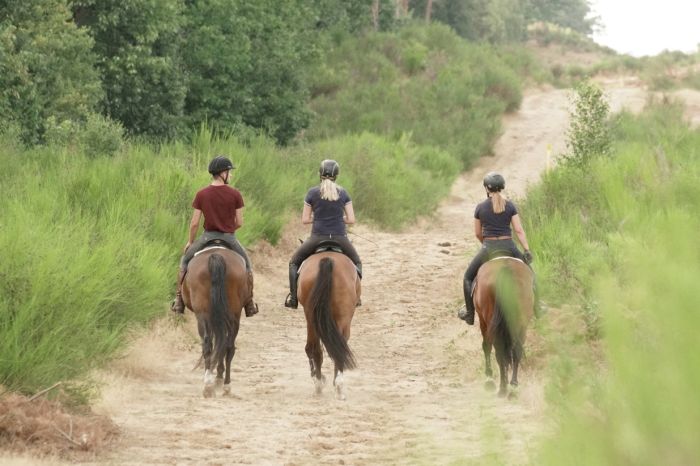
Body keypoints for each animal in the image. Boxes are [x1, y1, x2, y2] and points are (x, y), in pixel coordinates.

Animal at [180, 248, 249, 396]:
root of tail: (216, 255)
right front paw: (218, 377)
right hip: (233, 315)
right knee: (228, 345)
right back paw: (223, 385)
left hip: (204, 314)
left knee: (209, 343)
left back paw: (210, 384)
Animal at [296, 251, 360, 400]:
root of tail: (327, 259)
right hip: (341, 317)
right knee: (336, 348)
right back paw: (336, 387)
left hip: (311, 317)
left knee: (314, 348)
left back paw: (320, 384)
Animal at [474, 258, 540, 396]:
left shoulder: (483, 321)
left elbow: (486, 346)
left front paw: (489, 377)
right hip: (521, 323)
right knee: (515, 350)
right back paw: (512, 386)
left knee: (499, 351)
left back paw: (503, 386)